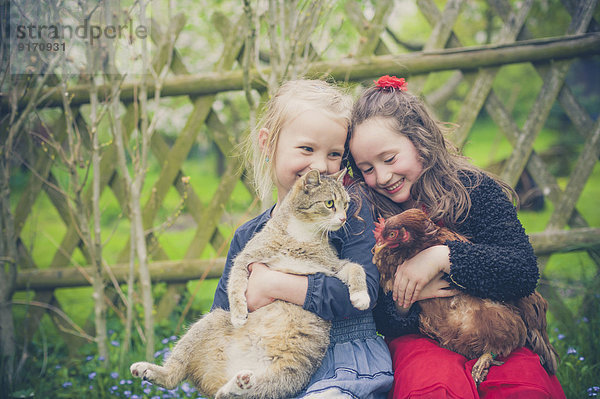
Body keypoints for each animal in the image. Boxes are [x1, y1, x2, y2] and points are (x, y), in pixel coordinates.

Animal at [131, 170, 370, 399]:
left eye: (346, 203)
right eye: (329, 203)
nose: (344, 218)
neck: (301, 235)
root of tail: (222, 377)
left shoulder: (333, 266)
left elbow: (357, 268)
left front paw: (361, 297)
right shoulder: (245, 258)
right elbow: (235, 283)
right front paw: (239, 314)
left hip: (289, 374)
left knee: (229, 394)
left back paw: (238, 385)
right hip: (207, 323)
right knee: (175, 376)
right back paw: (146, 369)